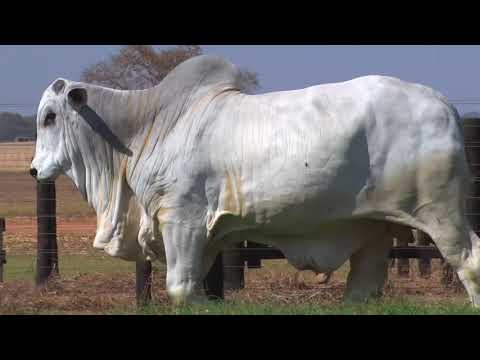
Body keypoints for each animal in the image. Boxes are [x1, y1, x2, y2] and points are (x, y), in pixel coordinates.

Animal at [30, 54, 480, 306]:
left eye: (50, 116)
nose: (34, 170)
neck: (147, 127)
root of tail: (442, 103)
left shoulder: (182, 220)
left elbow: (181, 287)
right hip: (374, 227)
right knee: (362, 287)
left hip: (441, 214)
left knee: (469, 262)